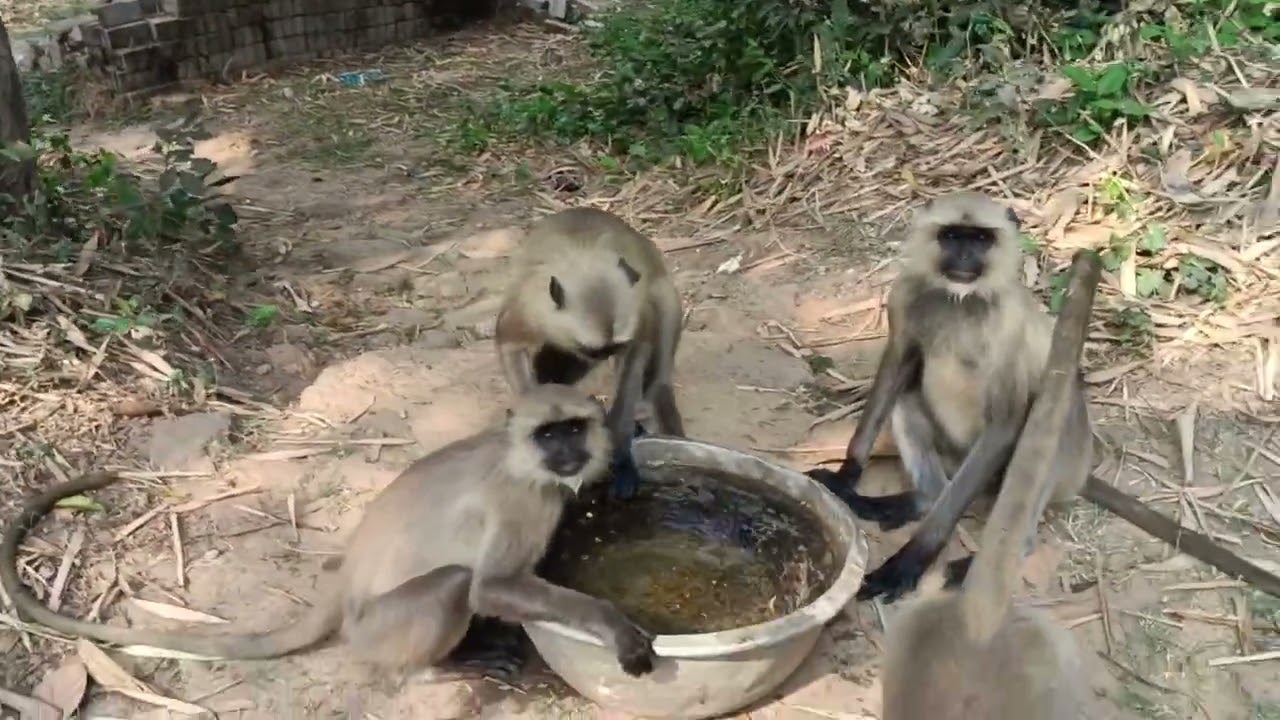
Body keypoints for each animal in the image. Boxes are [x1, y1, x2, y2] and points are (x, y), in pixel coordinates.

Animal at [0, 385, 657, 679]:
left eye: (574, 428)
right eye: (549, 435)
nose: (568, 451)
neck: (521, 461)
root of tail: (343, 594)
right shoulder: (522, 499)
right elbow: (490, 587)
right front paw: (616, 628)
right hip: (379, 630)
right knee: (453, 582)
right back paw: (446, 667)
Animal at [495, 206, 686, 501]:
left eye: (613, 348)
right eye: (594, 350)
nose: (601, 357)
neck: (583, 255)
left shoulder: (637, 315)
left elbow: (637, 352)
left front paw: (620, 453)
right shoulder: (528, 311)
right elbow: (511, 346)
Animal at [805, 191, 1280, 604]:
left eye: (980, 239)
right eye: (952, 236)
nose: (965, 258)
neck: (963, 301)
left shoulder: (1009, 326)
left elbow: (1007, 420)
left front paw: (913, 560)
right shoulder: (907, 296)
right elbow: (897, 366)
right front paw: (848, 475)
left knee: (1049, 417)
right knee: (908, 401)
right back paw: (923, 498)